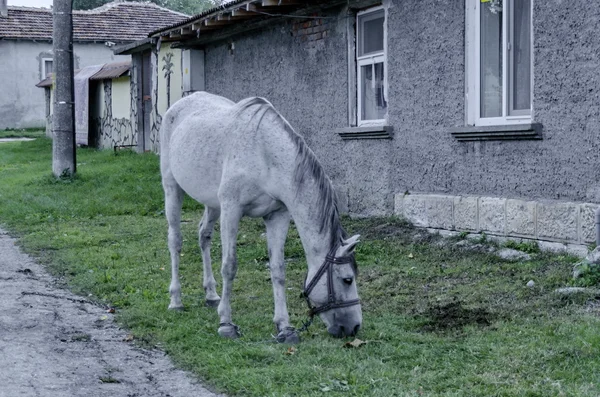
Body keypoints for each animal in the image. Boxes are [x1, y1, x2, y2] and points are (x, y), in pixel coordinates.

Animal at [159, 91, 360, 342]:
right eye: (347, 279)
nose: (354, 327)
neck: (265, 154)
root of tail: (179, 105)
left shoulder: (278, 215)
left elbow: (278, 269)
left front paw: (285, 327)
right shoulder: (231, 210)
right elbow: (230, 265)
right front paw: (226, 323)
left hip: (212, 203)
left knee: (203, 236)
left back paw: (211, 295)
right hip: (172, 189)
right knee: (175, 241)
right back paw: (176, 300)